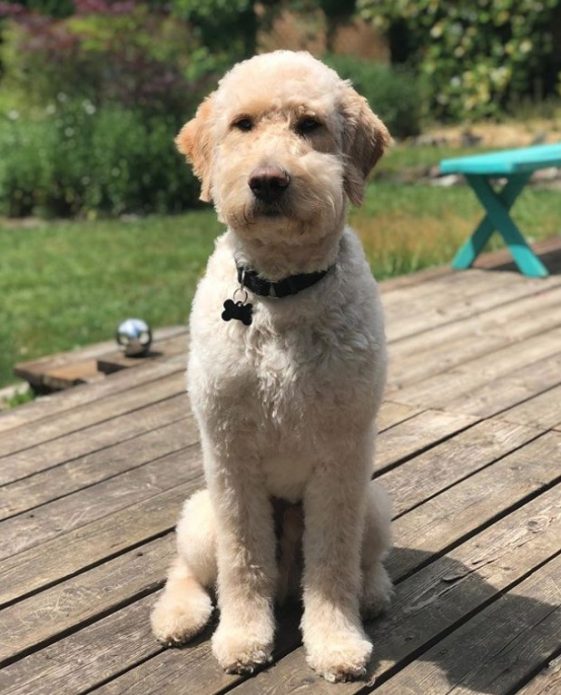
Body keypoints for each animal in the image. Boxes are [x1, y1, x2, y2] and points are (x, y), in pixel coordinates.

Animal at [151, 50, 392, 684]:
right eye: (243, 124)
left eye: (309, 125)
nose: (268, 180)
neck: (281, 293)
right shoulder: (231, 457)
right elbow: (243, 560)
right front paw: (241, 638)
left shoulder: (342, 458)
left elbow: (331, 563)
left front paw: (335, 641)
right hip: (200, 515)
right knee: (186, 569)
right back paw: (178, 615)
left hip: (374, 505)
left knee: (362, 560)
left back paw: (373, 592)